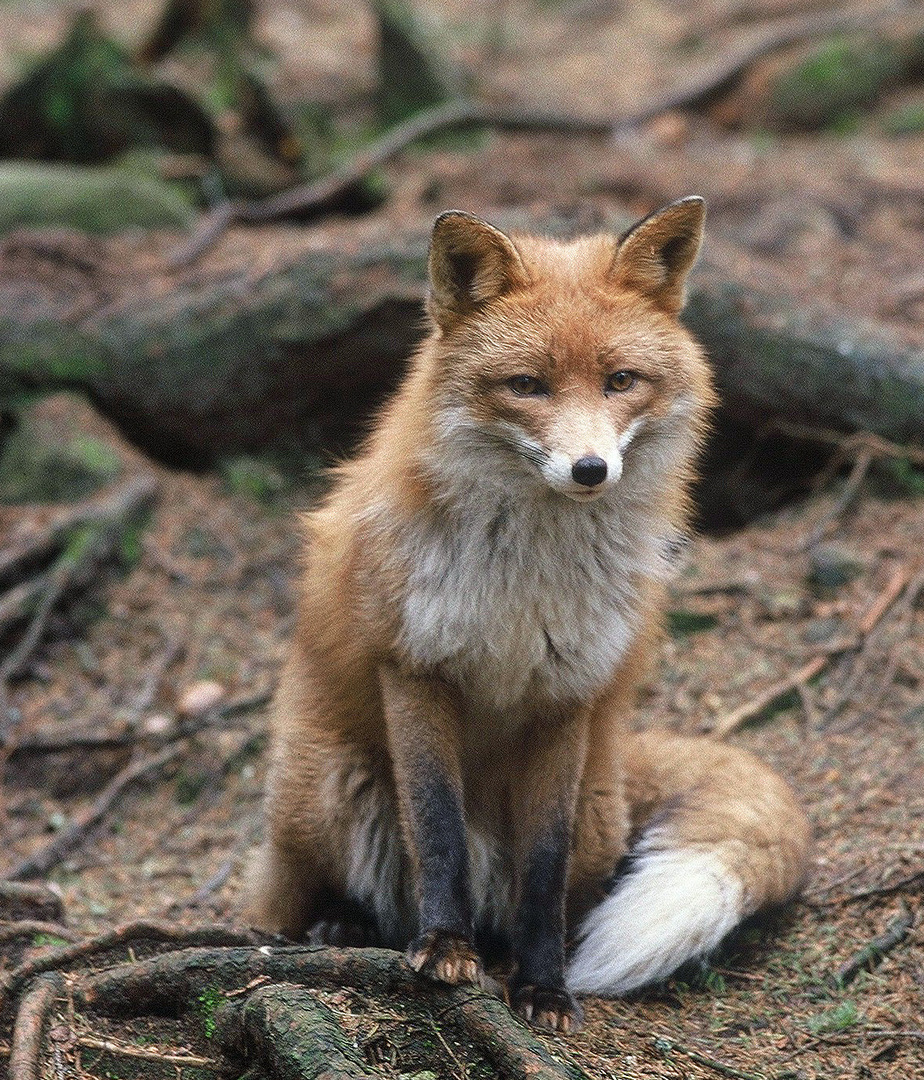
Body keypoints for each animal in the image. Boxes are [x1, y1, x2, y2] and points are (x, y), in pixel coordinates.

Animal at [249, 198, 811, 1032]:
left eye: (620, 380)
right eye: (526, 385)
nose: (590, 470)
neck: (525, 586)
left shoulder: (566, 697)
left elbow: (542, 871)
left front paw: (543, 985)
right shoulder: (415, 669)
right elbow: (437, 829)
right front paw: (443, 948)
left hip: (598, 815)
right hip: (325, 785)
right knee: (296, 902)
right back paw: (340, 927)